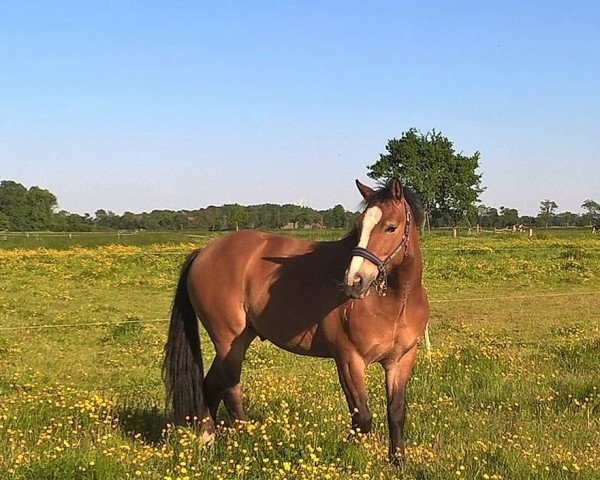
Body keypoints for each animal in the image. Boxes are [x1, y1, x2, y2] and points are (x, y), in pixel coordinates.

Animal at [162, 178, 428, 464]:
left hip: (241, 340)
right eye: (358, 227)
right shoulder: (349, 360)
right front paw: (350, 458)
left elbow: (396, 413)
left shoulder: (401, 360)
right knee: (231, 391)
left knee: (211, 385)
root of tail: (204, 252)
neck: (395, 302)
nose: (353, 281)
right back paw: (247, 444)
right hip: (227, 342)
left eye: (391, 228)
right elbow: (362, 418)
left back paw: (206, 442)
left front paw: (398, 461)